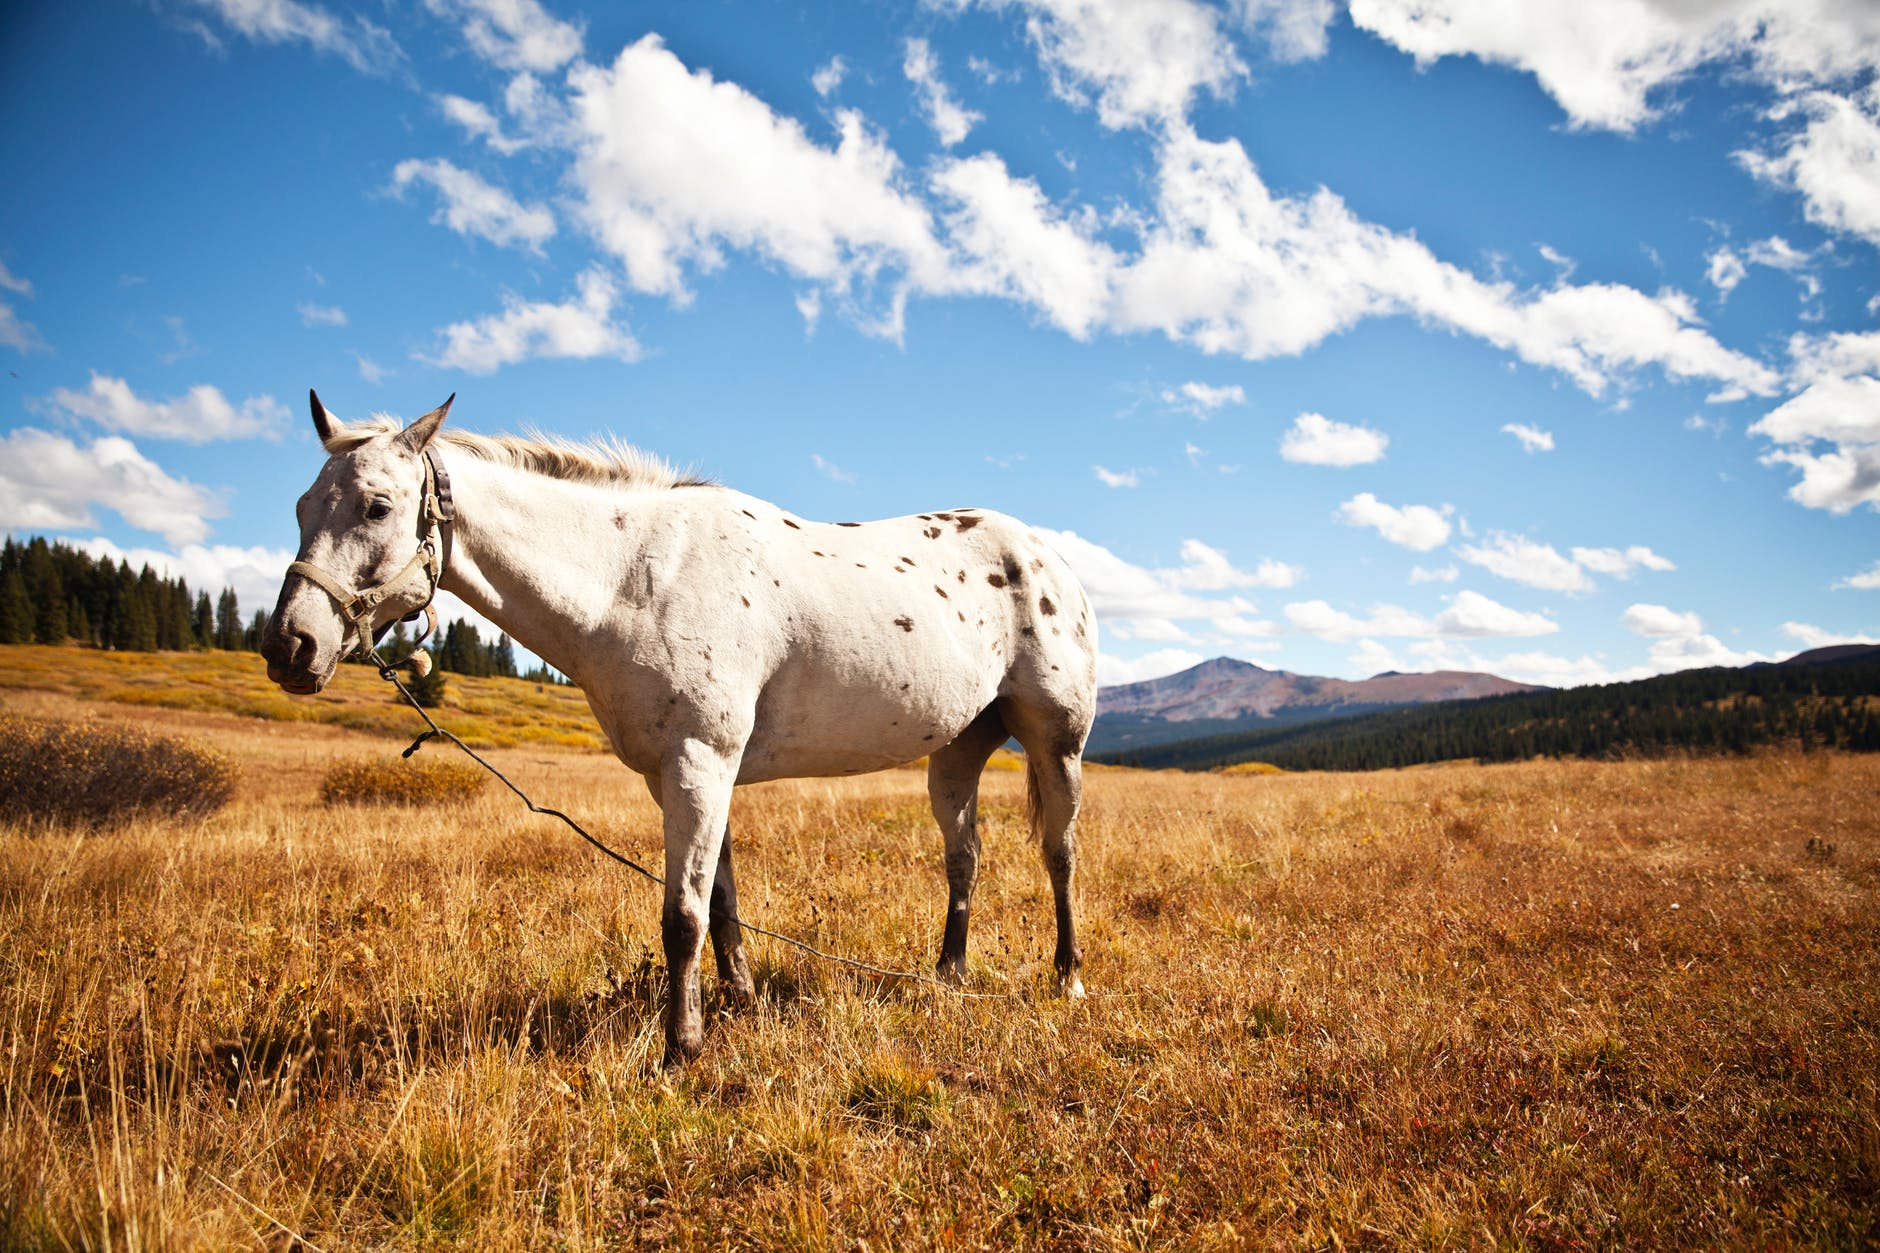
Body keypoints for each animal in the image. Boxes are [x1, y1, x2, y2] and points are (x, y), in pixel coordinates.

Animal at [257, 395, 1097, 1061]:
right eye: (299, 506)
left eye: (376, 506)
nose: (290, 646)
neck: (634, 576)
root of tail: (1047, 554)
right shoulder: (684, 774)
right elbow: (719, 901)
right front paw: (738, 1004)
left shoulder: (701, 760)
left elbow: (682, 916)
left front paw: (681, 1048)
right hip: (956, 751)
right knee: (964, 857)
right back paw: (948, 974)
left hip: (1058, 742)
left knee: (1059, 855)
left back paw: (1067, 975)